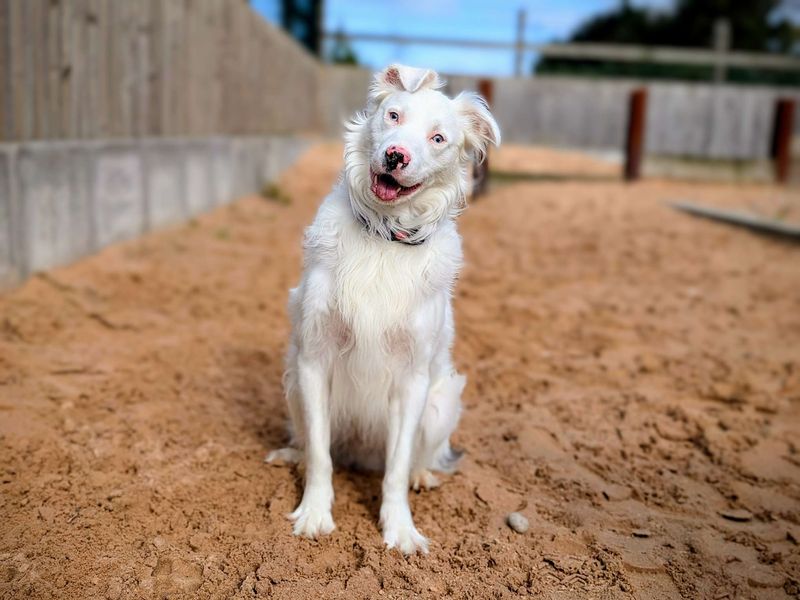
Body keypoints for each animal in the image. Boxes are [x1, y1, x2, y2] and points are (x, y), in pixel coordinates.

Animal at [268, 64, 500, 552]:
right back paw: (291, 455)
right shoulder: (313, 360)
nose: (396, 156)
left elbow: (394, 470)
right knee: (312, 444)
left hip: (442, 402)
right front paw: (314, 513)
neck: (384, 236)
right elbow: (320, 455)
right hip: (292, 381)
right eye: (394, 115)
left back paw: (422, 476)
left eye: (438, 138)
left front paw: (400, 530)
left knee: (412, 459)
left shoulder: (412, 380)